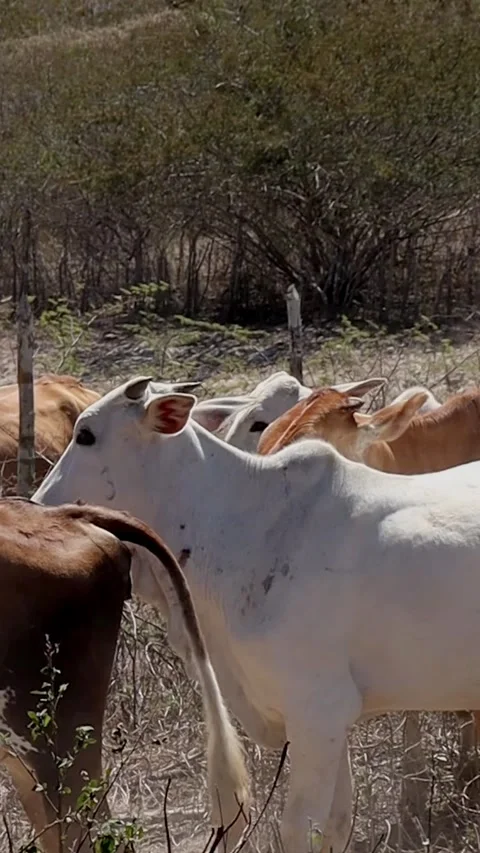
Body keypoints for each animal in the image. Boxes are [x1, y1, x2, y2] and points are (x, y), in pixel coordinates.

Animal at [34, 375, 480, 852]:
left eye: (85, 434)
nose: (38, 504)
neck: (248, 525)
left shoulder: (319, 712)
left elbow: (301, 828)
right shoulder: (321, 723)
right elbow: (336, 825)